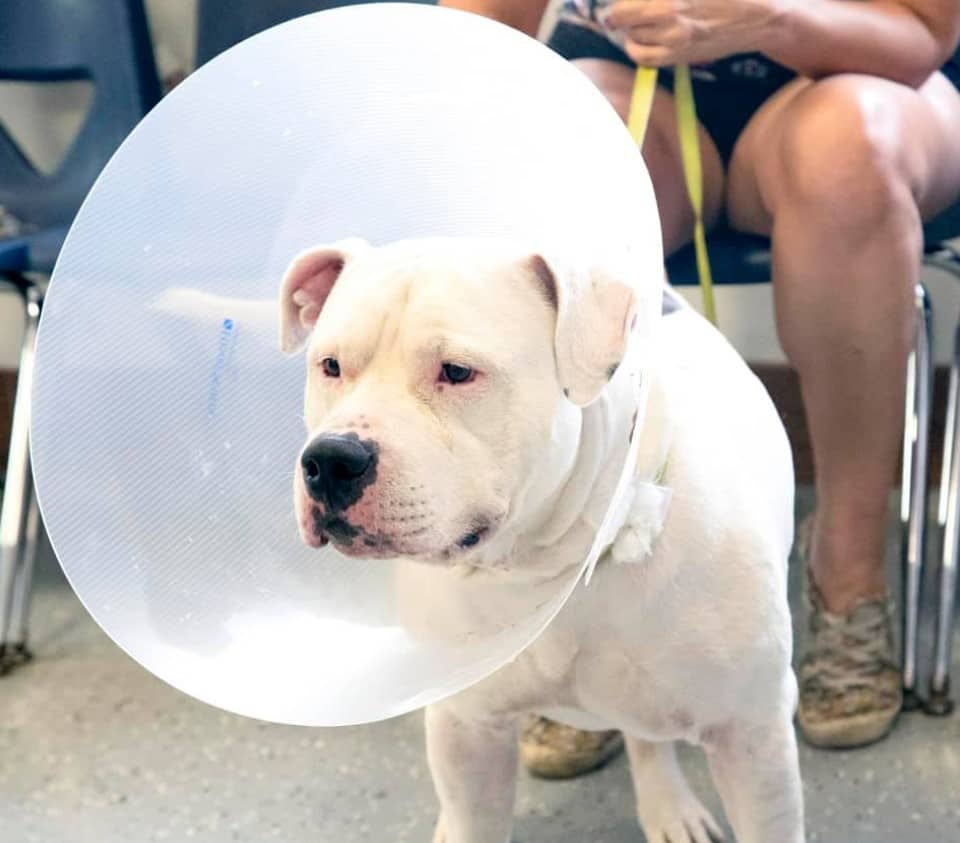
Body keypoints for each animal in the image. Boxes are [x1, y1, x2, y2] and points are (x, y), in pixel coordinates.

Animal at [282, 237, 808, 843]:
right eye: (330, 366)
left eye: (457, 372)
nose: (330, 459)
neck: (553, 564)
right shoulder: (467, 731)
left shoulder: (752, 734)